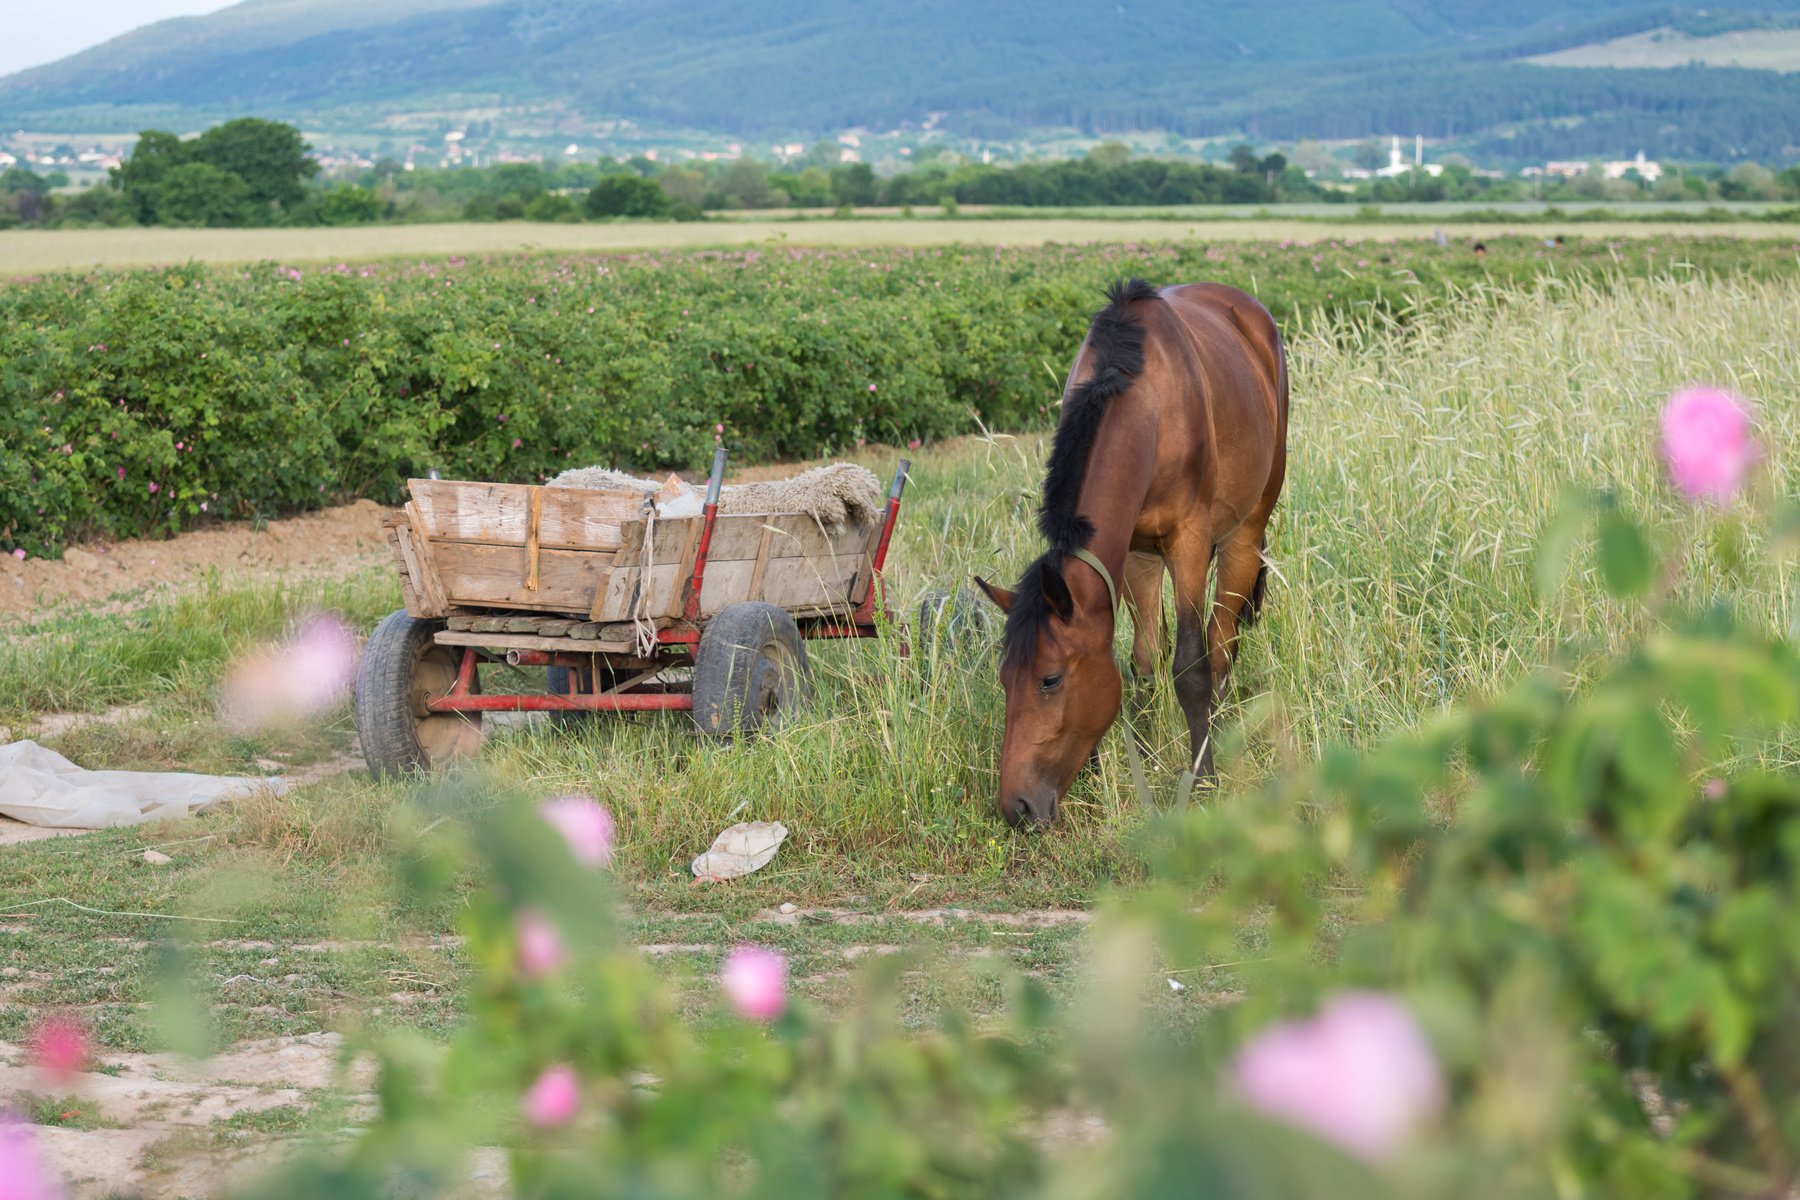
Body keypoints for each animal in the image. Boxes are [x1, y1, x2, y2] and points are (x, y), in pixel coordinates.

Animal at [979, 280, 1288, 827]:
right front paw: (1142, 760)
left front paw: (1202, 778)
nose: (1017, 808)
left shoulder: (1188, 540)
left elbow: (1189, 666)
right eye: (1003, 680)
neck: (1148, 406)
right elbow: (1143, 662)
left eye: (1049, 680)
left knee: (1222, 641)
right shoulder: (1137, 555)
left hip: (1246, 531)